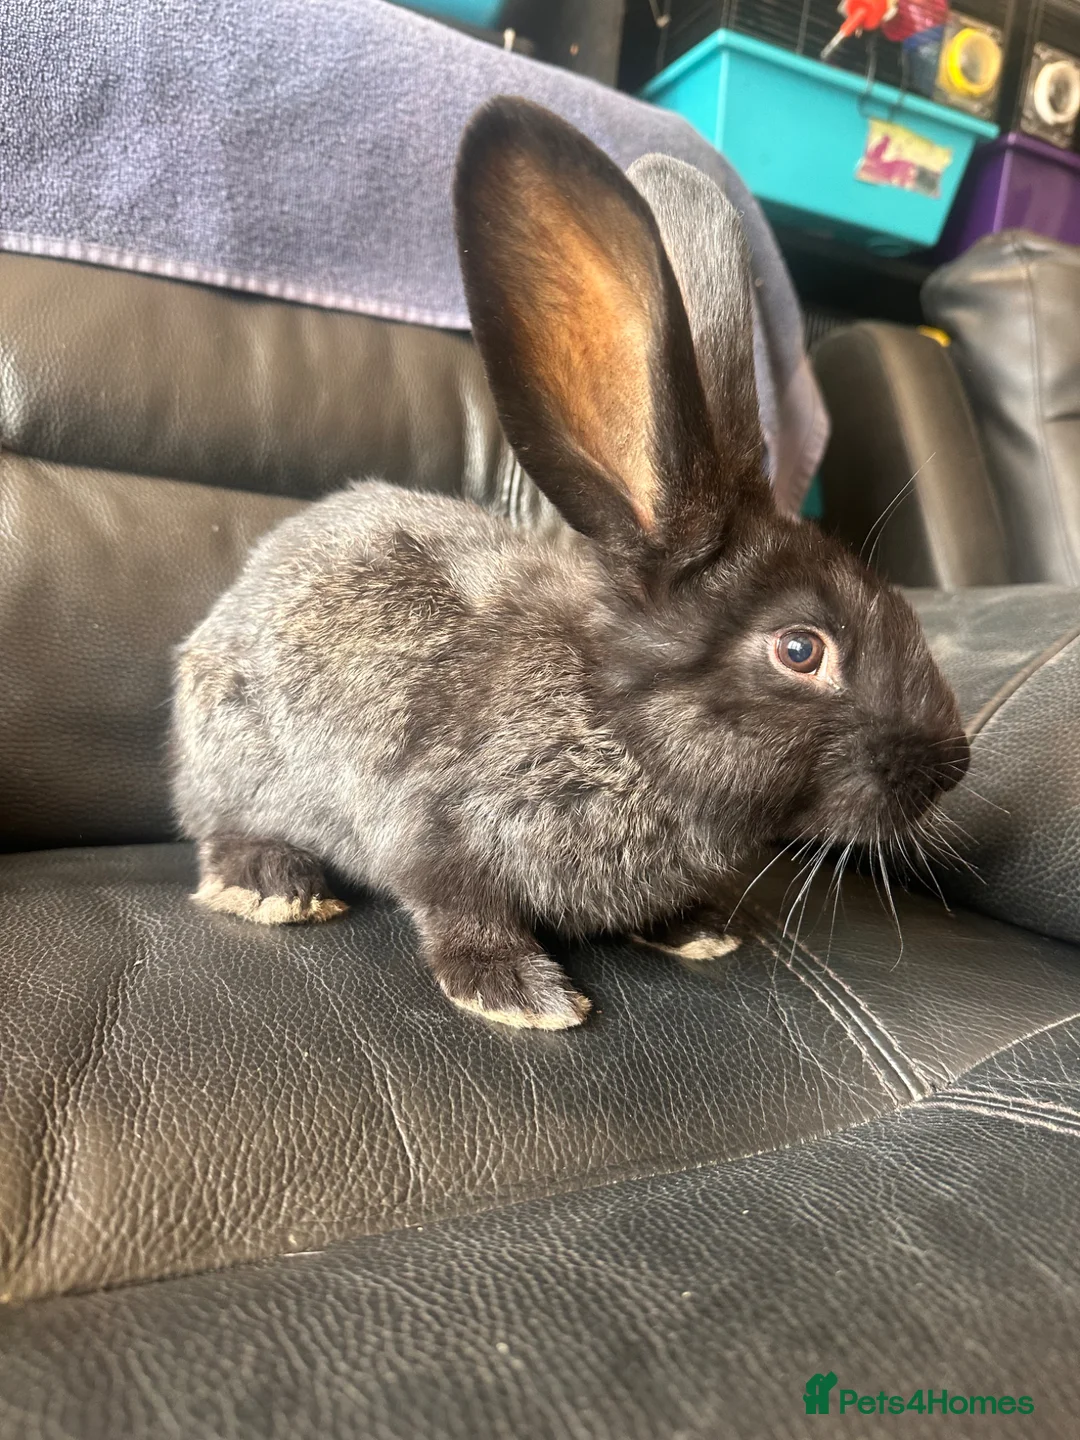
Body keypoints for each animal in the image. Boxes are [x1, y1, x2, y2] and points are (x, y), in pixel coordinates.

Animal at [171, 96, 969, 1030]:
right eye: (801, 649)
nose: (953, 765)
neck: (613, 719)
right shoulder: (433, 828)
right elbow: (455, 905)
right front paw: (519, 995)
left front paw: (698, 930)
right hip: (236, 762)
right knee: (218, 831)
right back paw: (274, 886)